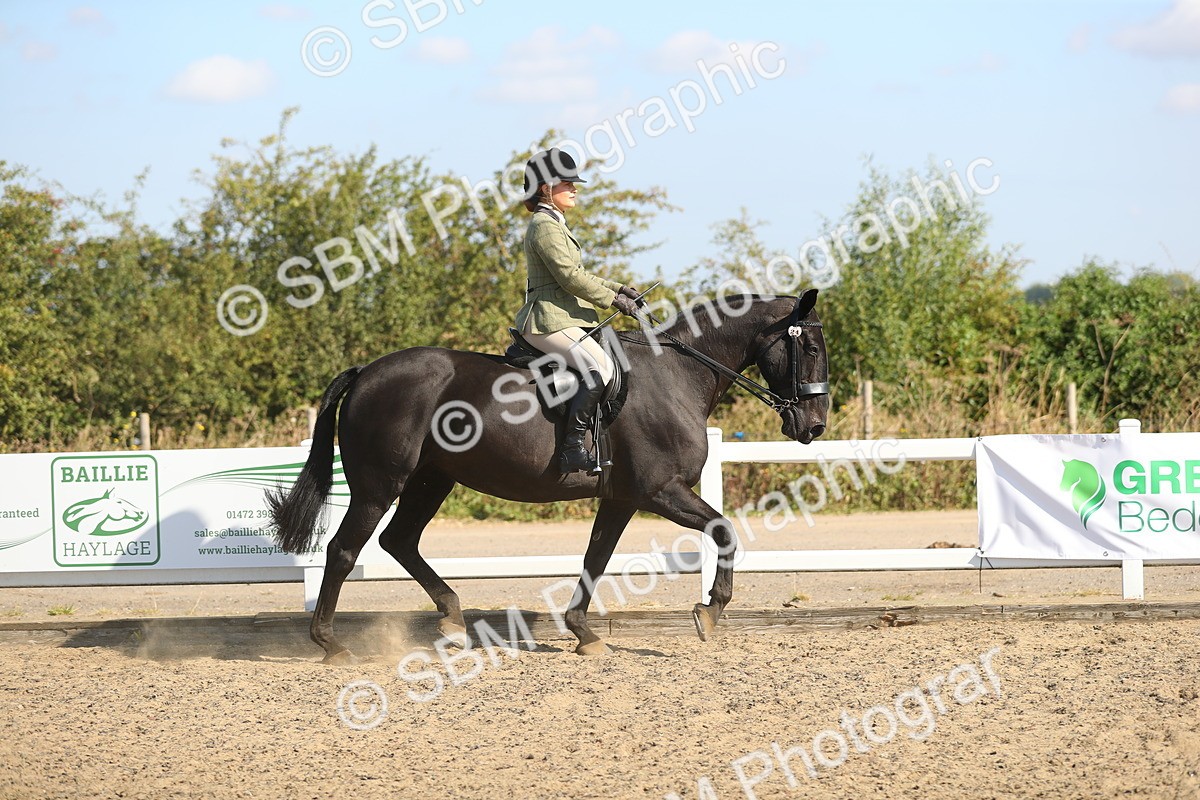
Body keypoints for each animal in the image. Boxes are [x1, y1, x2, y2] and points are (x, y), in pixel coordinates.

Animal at [268, 290, 830, 661]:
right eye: (811, 349)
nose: (815, 426)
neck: (678, 376)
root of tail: (366, 372)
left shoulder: (622, 498)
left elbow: (596, 558)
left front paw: (584, 633)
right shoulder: (660, 491)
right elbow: (723, 530)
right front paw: (710, 613)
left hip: (432, 480)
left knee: (399, 541)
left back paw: (451, 618)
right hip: (380, 485)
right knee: (344, 550)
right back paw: (331, 644)